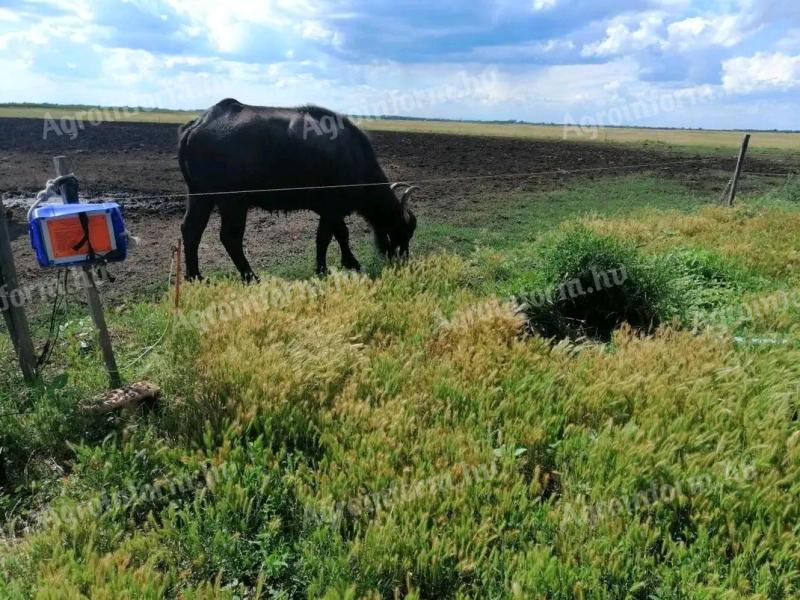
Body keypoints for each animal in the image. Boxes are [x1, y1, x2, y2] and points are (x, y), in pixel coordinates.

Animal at [177, 98, 418, 282]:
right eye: (404, 230)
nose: (405, 261)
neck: (355, 157)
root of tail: (198, 123)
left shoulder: (330, 210)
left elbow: (341, 234)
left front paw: (350, 262)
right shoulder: (332, 209)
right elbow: (325, 238)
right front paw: (322, 269)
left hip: (199, 196)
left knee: (191, 229)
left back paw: (195, 277)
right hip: (233, 202)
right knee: (230, 237)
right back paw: (251, 277)